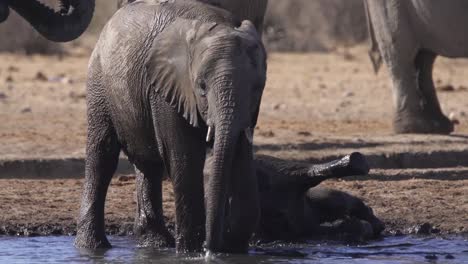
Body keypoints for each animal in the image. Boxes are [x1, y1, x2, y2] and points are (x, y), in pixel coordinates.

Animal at [74, 0, 266, 256]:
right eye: (201, 87)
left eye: (257, 87)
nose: (211, 249)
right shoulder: (166, 89)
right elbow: (184, 156)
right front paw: (191, 251)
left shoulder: (250, 110)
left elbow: (241, 154)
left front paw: (232, 250)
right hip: (99, 81)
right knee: (102, 156)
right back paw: (92, 247)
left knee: (148, 164)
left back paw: (155, 243)